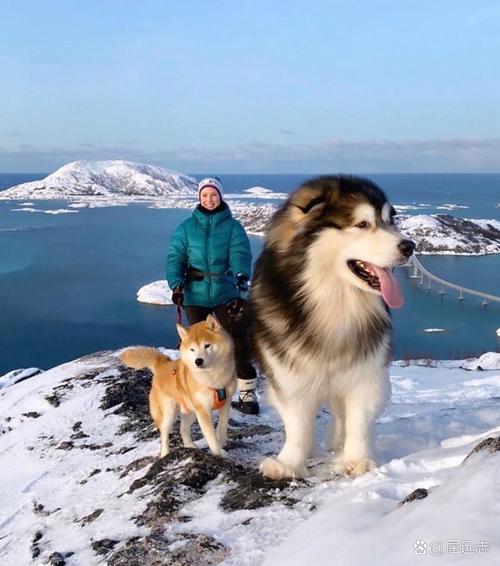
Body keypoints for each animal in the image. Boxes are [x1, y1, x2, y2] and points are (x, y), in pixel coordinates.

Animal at [121, 318, 238, 460]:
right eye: (192, 349)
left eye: (207, 345)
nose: (198, 361)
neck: (214, 380)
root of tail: (162, 365)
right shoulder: (203, 411)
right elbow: (211, 437)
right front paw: (218, 453)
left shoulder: (226, 403)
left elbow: (222, 428)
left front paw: (221, 445)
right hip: (169, 413)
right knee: (164, 434)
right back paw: (165, 454)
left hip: (190, 412)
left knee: (183, 428)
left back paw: (190, 446)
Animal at [250, 176, 414, 480]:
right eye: (362, 224)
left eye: (389, 221)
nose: (410, 246)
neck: (333, 301)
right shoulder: (289, 372)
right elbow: (298, 424)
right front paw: (288, 463)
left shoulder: (366, 371)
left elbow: (358, 420)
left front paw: (356, 460)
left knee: (341, 414)